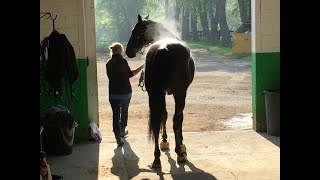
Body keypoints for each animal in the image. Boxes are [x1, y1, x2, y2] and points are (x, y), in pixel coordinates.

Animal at [125, 14, 195, 168]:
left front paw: (165, 141)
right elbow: (178, 118)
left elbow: (163, 115)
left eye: (136, 31)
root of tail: (162, 49)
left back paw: (156, 158)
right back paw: (179, 153)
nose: (128, 51)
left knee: (157, 123)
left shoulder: (161, 93)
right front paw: (181, 146)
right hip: (179, 93)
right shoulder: (180, 93)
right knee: (176, 120)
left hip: (154, 94)